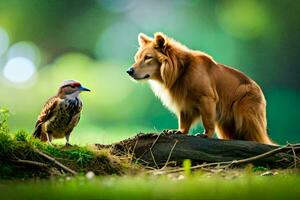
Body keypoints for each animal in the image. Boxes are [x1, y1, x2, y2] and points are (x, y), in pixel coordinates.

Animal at [126, 32, 274, 145]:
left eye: (148, 58)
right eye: (137, 58)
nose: (129, 71)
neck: (182, 70)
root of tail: (260, 92)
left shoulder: (207, 98)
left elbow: (207, 120)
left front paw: (206, 134)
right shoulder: (185, 102)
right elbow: (184, 120)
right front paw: (180, 131)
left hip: (245, 108)